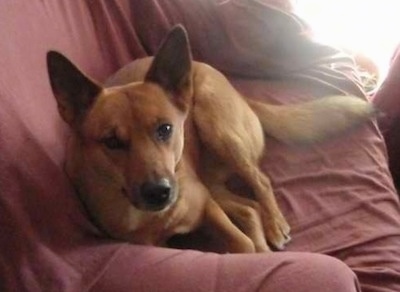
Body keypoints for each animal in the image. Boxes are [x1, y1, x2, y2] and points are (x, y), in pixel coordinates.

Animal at [46, 25, 376, 253]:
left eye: (165, 129)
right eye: (111, 142)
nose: (159, 192)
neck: (156, 218)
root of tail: (242, 96)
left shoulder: (206, 206)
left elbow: (242, 244)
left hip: (216, 126)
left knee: (260, 182)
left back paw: (274, 225)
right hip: (213, 181)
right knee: (249, 208)